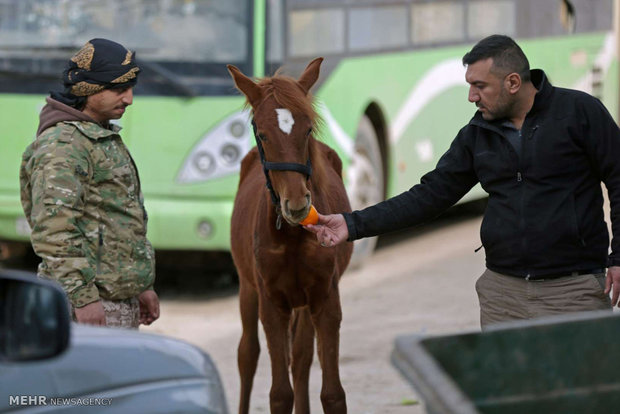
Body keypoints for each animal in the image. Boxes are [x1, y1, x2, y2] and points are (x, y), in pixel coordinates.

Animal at [228, 57, 354, 414]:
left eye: (308, 129)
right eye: (262, 133)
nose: (297, 204)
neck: (293, 237)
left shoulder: (324, 298)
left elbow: (332, 392)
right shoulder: (272, 303)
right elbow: (279, 393)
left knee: (300, 359)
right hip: (247, 288)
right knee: (247, 354)